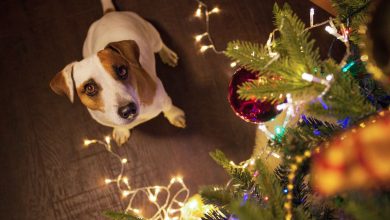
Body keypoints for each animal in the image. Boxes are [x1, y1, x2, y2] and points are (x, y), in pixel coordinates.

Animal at [49, 0, 187, 145]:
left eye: (122, 70)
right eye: (89, 88)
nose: (128, 109)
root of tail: (109, 14)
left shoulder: (162, 96)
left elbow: (169, 107)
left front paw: (175, 115)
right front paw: (122, 131)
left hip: (152, 34)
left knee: (160, 44)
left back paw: (168, 55)